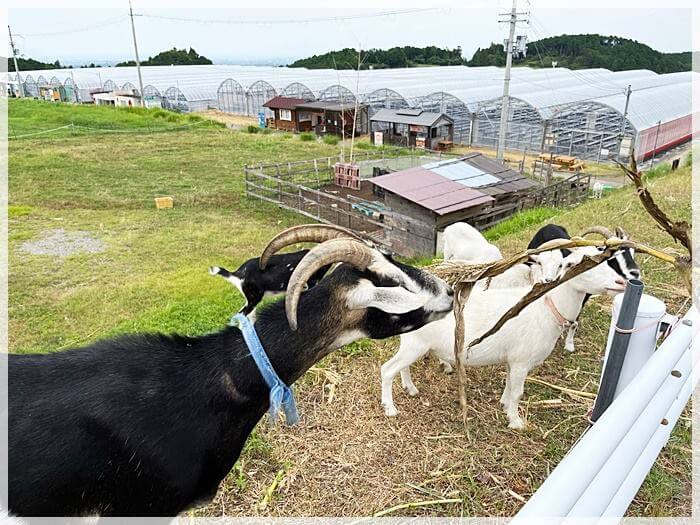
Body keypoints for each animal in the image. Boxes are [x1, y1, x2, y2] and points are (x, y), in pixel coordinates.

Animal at [380, 248, 628, 428]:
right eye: (578, 264)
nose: (621, 283)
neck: (547, 307)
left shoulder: (513, 360)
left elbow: (509, 386)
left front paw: (504, 405)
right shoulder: (522, 361)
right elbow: (518, 392)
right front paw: (516, 421)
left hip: (413, 343)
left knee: (403, 367)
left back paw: (411, 388)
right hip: (415, 344)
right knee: (387, 369)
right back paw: (390, 409)